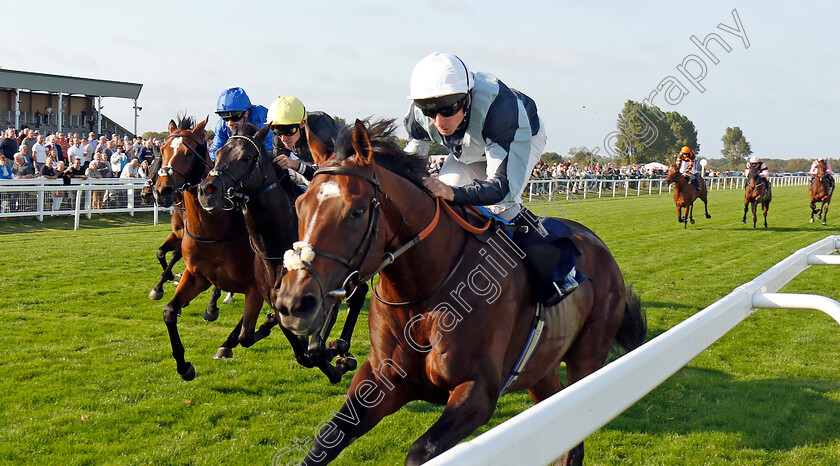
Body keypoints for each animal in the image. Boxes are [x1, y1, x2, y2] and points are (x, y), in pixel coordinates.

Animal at [153, 115, 280, 378]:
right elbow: (169, 311)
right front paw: (184, 366)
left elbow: (245, 334)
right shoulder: (197, 274)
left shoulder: (255, 284)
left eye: (187, 153)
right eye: (163, 149)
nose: (162, 190)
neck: (215, 229)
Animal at [197, 124, 368, 382]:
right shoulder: (276, 300)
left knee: (359, 295)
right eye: (216, 154)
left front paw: (339, 358)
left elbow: (315, 350)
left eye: (246, 157)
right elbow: (298, 352)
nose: (207, 191)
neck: (277, 247)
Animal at [272, 121, 648, 466]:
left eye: (357, 210)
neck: (423, 295)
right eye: (300, 204)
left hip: (588, 359)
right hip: (542, 368)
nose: (293, 303)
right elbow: (325, 442)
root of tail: (598, 244)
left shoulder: (478, 391)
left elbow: (420, 451)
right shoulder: (379, 378)